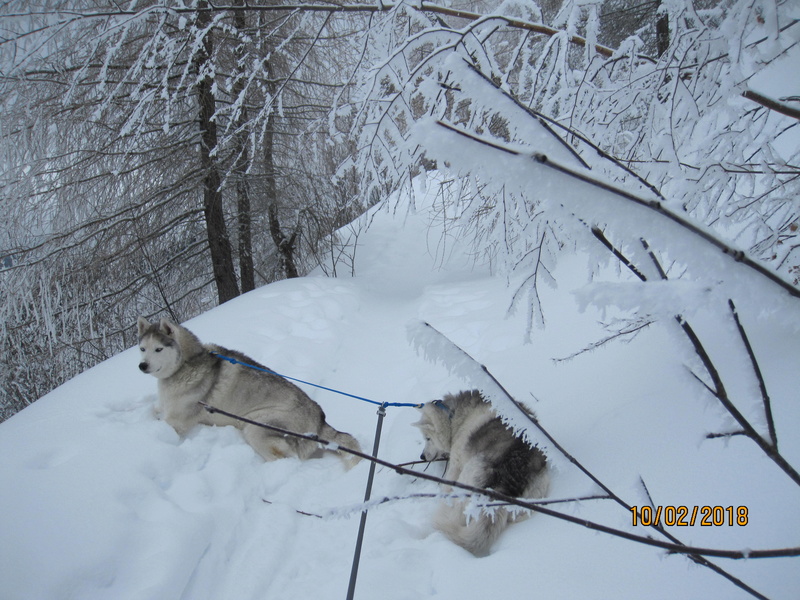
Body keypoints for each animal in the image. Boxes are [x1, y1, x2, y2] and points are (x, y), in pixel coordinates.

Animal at [138, 316, 362, 466]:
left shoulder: (176, 422)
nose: (142, 366)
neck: (188, 363)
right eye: (142, 348)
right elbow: (152, 409)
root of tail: (320, 419)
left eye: (158, 349)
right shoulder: (164, 407)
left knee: (287, 459)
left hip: (255, 427)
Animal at [412, 392, 552, 556]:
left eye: (427, 438)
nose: (422, 456)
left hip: (465, 481)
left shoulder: (455, 464)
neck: (454, 416)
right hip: (532, 501)